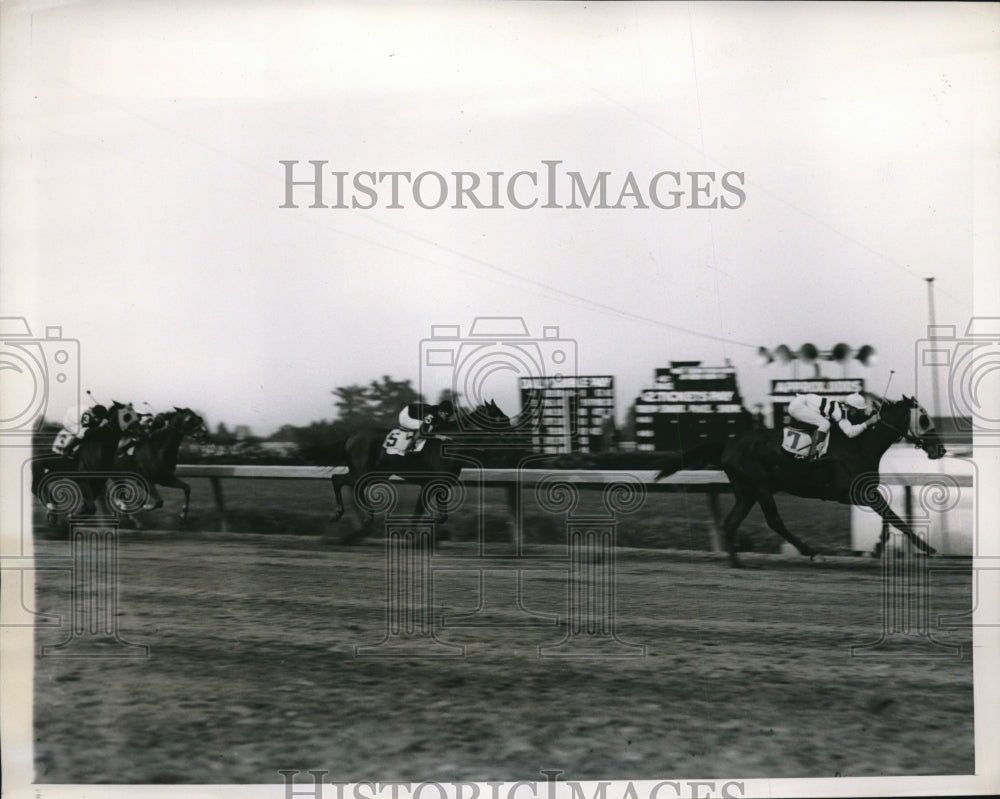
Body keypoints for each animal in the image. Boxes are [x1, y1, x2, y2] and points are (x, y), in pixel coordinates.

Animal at [660, 396, 948, 564]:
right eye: (924, 418)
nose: (940, 449)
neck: (859, 444)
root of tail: (729, 443)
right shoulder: (855, 492)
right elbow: (894, 518)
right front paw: (928, 548)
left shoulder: (864, 491)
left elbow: (889, 518)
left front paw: (879, 546)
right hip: (761, 487)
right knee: (774, 521)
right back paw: (811, 552)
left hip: (746, 492)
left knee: (731, 523)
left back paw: (735, 562)